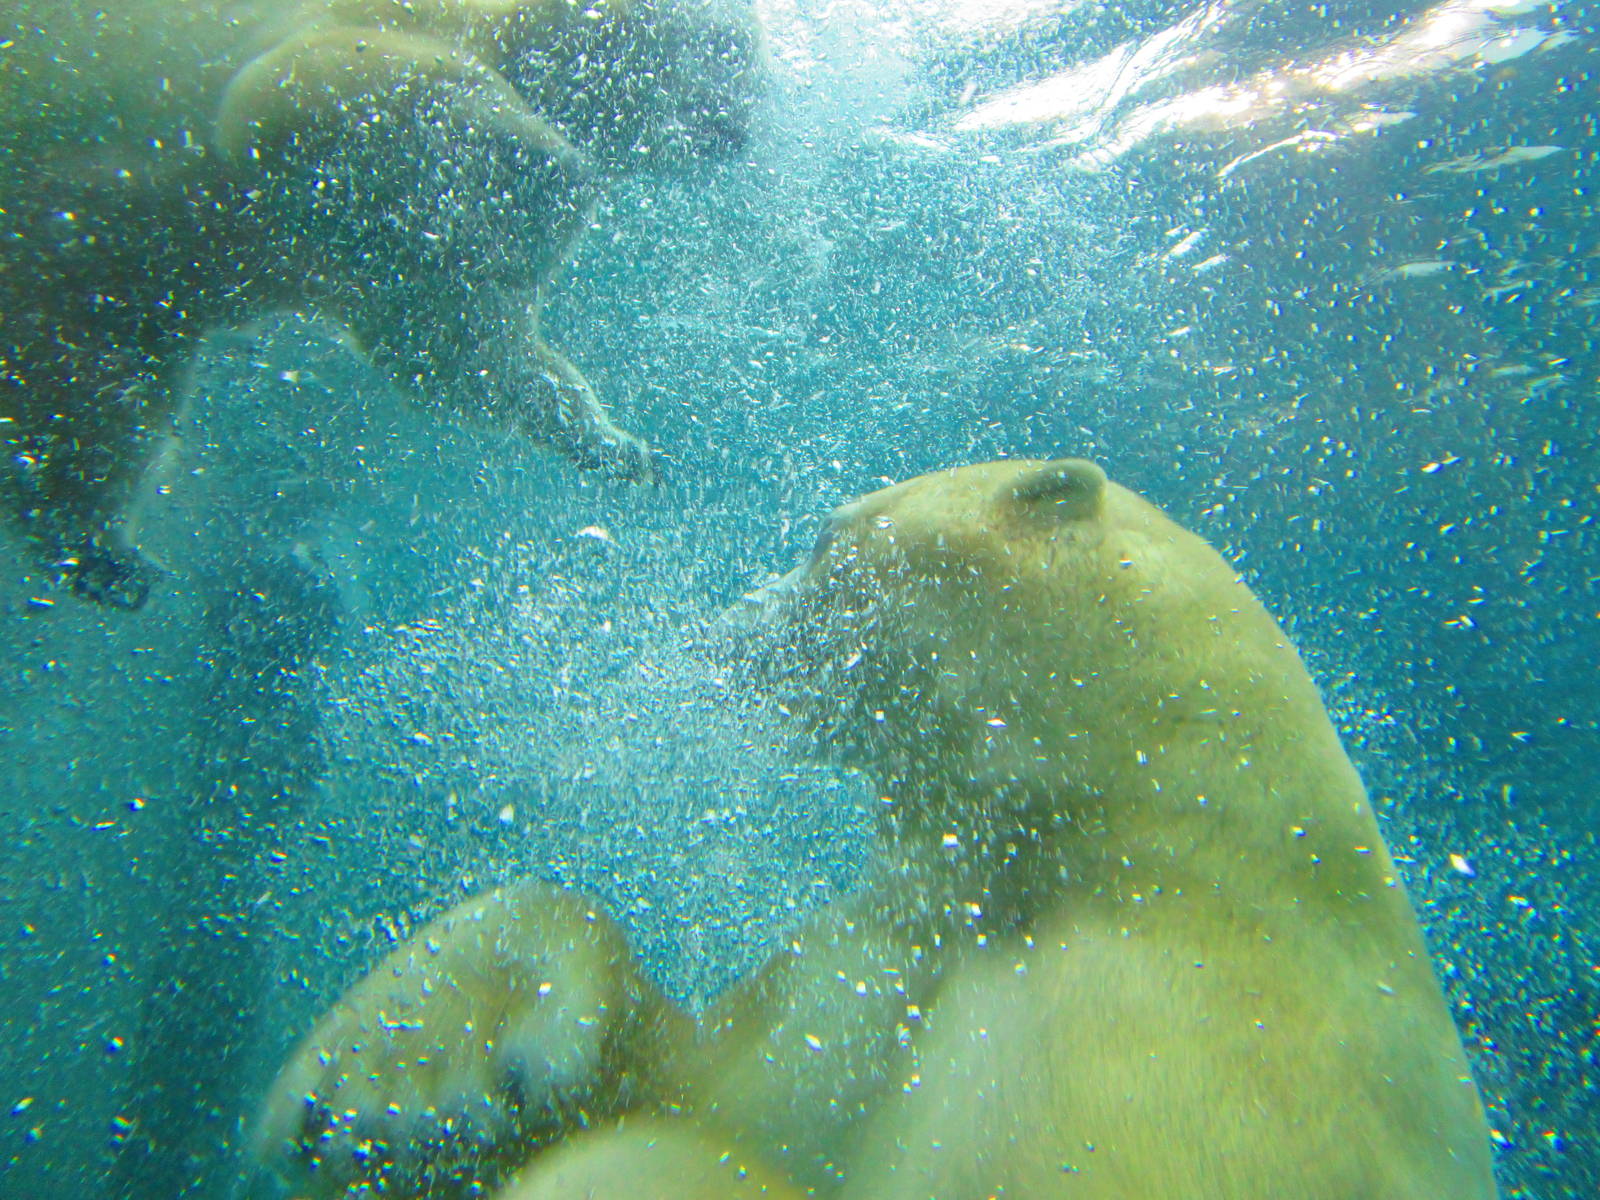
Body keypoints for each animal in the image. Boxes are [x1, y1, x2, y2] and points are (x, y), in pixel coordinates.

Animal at [0, 0, 762, 607]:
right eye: (728, 48)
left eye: (745, 65)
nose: (738, 131)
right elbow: (310, 78)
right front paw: (552, 172)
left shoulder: (376, 255)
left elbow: (458, 347)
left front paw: (622, 450)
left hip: (78, 290)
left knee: (92, 406)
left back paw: (108, 558)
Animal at [253, 458, 1500, 1199]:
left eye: (820, 535)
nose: (727, 621)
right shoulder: (881, 983)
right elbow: (688, 1095)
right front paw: (396, 1081)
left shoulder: (1201, 1083)